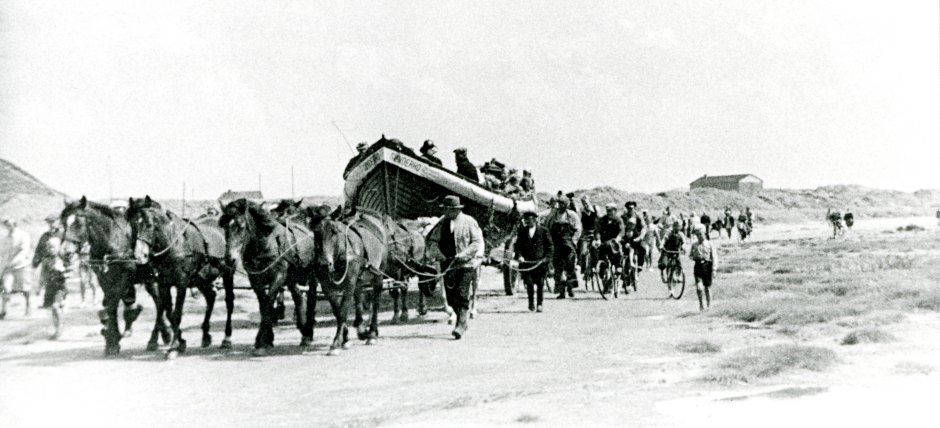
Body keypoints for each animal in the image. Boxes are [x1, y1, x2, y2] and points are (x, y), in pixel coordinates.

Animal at [59, 197, 162, 354]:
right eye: (64, 223)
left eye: (79, 222)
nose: (65, 252)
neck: (112, 241)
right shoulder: (103, 279)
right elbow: (109, 303)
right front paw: (111, 338)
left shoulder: (125, 277)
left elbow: (113, 303)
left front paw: (113, 340)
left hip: (153, 280)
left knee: (160, 303)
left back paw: (154, 339)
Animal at [126, 196, 235, 358]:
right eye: (132, 225)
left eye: (150, 225)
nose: (139, 256)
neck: (174, 244)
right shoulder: (163, 284)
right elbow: (169, 312)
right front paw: (180, 343)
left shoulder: (181, 283)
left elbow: (176, 314)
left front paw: (173, 348)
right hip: (201, 279)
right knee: (210, 297)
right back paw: (205, 335)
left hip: (228, 274)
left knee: (229, 302)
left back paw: (226, 338)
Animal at [221, 199, 320, 352]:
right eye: (224, 227)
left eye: (241, 226)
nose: (229, 259)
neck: (265, 244)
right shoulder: (255, 279)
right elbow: (263, 304)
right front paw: (266, 338)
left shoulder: (278, 277)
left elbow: (268, 302)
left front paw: (262, 341)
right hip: (291, 278)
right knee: (298, 297)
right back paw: (303, 329)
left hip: (312, 276)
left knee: (311, 298)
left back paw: (308, 332)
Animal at [310, 207, 438, 354]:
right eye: (315, 232)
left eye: (334, 231)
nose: (324, 264)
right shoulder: (327, 286)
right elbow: (338, 311)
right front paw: (346, 338)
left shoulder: (352, 282)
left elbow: (343, 311)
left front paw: (336, 343)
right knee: (361, 299)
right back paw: (362, 328)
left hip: (379, 275)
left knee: (378, 301)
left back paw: (372, 334)